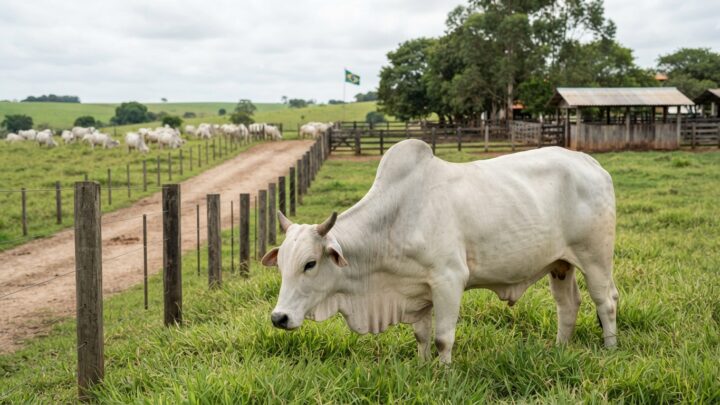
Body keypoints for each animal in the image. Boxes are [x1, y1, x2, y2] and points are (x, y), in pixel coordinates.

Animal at [261, 140, 618, 364]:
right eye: (281, 266)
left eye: (310, 264)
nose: (279, 318)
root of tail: (590, 162)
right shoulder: (416, 290)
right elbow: (421, 336)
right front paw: (422, 367)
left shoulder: (449, 280)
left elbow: (443, 337)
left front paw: (444, 373)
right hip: (560, 264)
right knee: (568, 304)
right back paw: (559, 349)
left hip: (596, 258)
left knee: (606, 301)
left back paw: (610, 348)